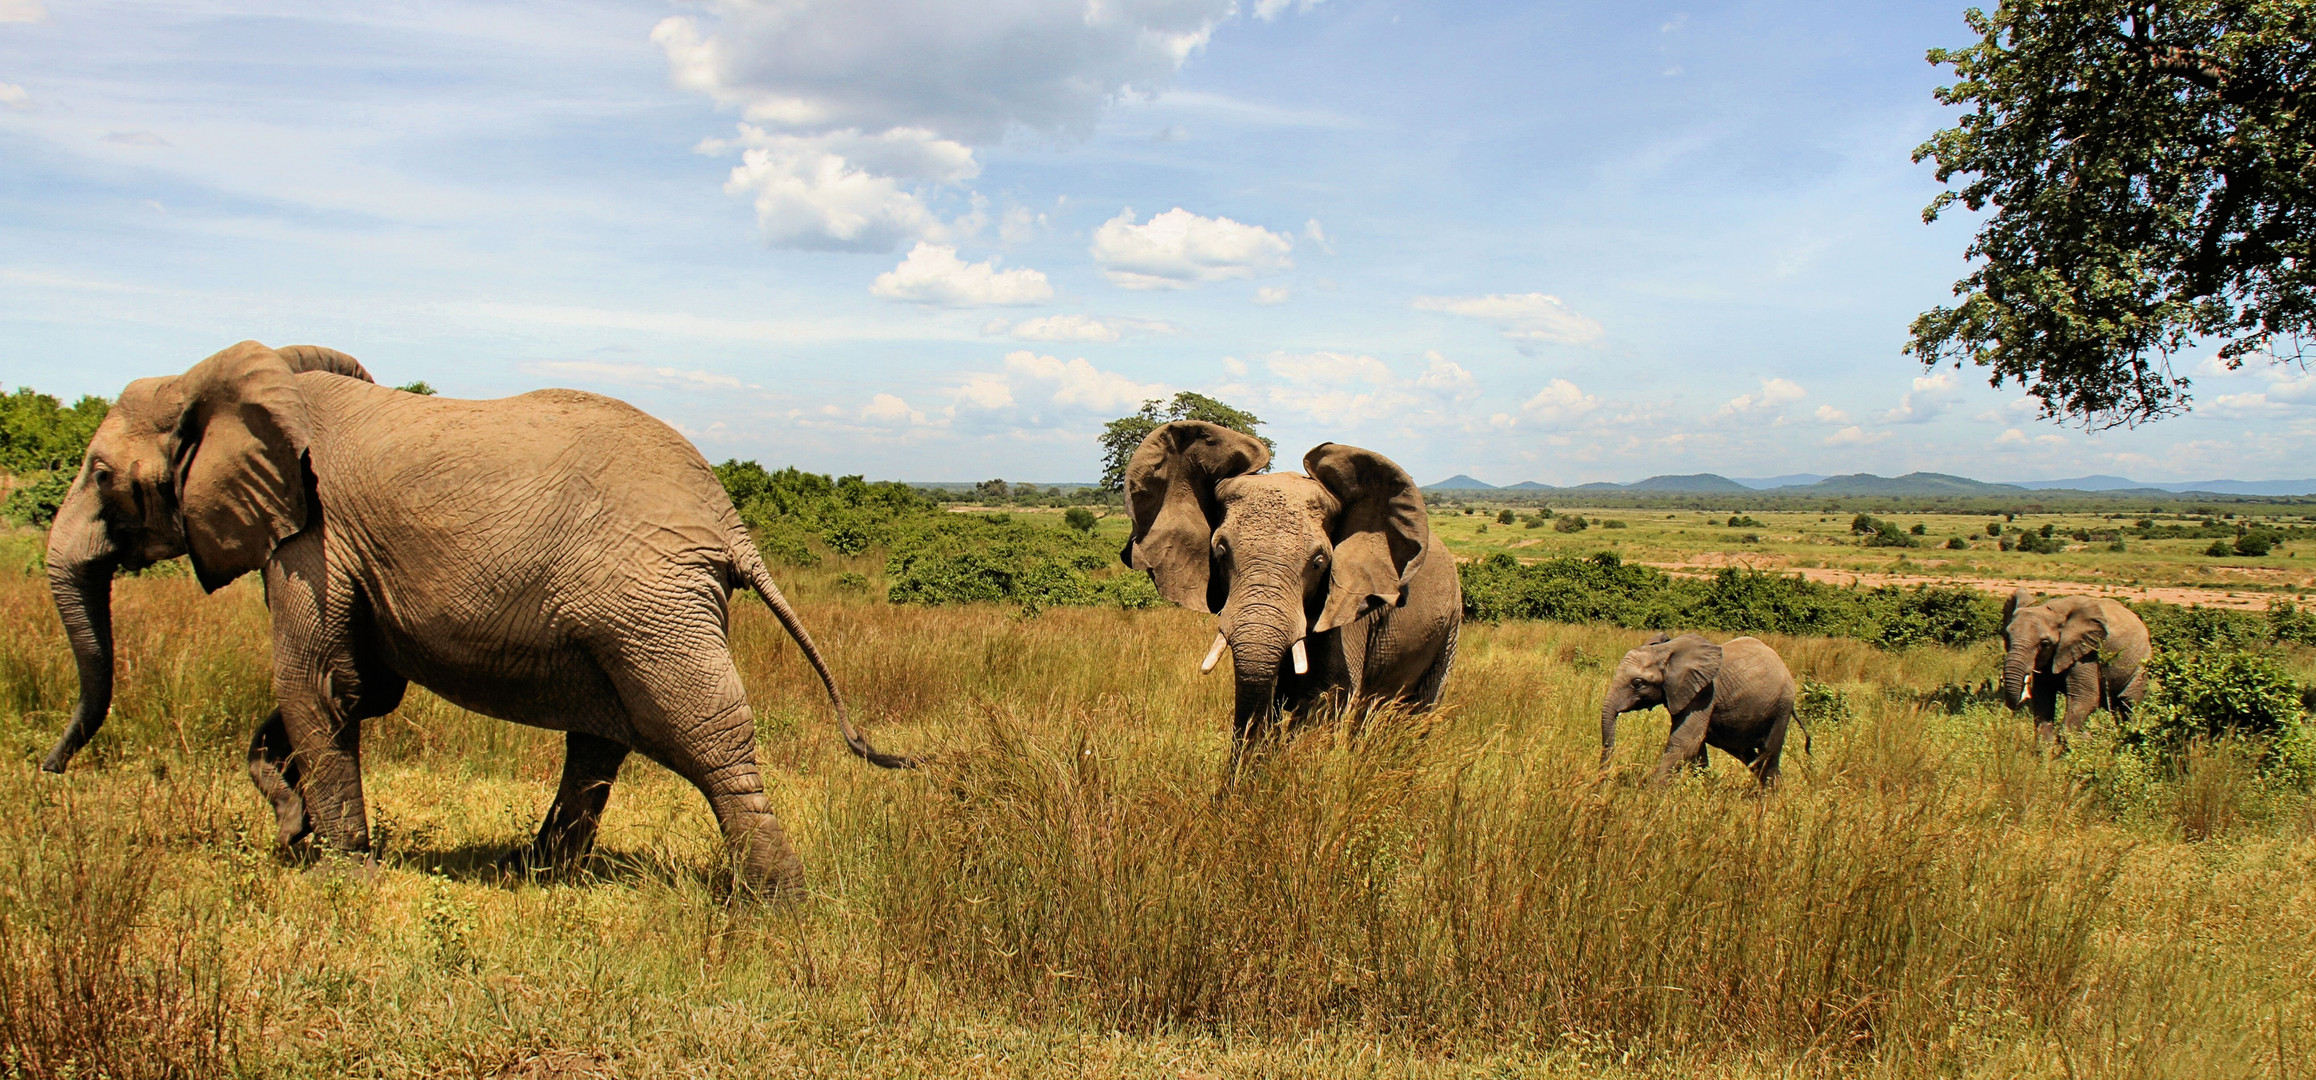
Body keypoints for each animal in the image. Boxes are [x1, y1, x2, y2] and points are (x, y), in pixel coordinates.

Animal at [42, 340, 912, 889]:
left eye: (100, 473)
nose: (48, 772)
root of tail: (729, 522)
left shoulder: (313, 538)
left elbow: (315, 681)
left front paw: (340, 875)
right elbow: (360, 689)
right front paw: (291, 819)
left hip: (651, 601)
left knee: (706, 736)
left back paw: (773, 904)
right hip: (641, 609)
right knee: (604, 737)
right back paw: (539, 875)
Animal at [1602, 630, 1797, 787]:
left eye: (1637, 683)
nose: (1603, 786)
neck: (1665, 652)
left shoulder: (1704, 694)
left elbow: (1685, 743)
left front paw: (1651, 796)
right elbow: (1696, 748)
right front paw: (1703, 789)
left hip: (1782, 705)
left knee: (1769, 754)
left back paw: (1770, 799)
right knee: (1749, 756)